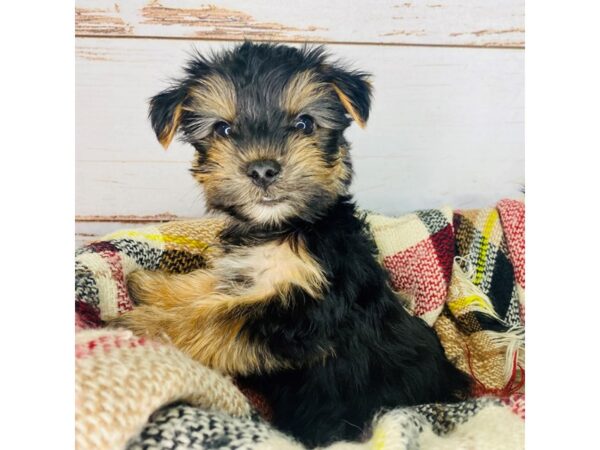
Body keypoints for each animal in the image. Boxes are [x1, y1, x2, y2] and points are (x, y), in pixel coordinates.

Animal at [115, 41, 472, 446]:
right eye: (223, 129)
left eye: (304, 124)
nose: (262, 168)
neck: (281, 228)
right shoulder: (248, 275)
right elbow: (211, 289)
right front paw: (153, 287)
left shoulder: (306, 312)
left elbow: (221, 316)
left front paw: (145, 325)